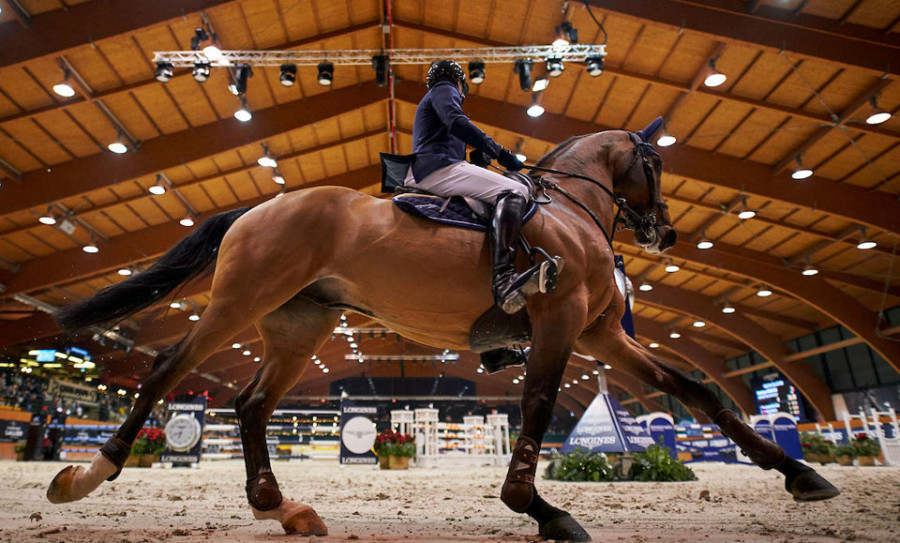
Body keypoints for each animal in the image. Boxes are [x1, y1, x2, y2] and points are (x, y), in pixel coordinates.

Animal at [45, 118, 840, 540]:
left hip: (297, 325)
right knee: (168, 372)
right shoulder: (558, 323)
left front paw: (801, 473)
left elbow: (699, 394)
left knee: (249, 405)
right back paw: (86, 475)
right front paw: (542, 510)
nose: (666, 231)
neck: (569, 210)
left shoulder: (603, 336)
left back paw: (283, 506)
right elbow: (538, 406)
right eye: (656, 162)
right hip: (237, 304)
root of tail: (257, 207)